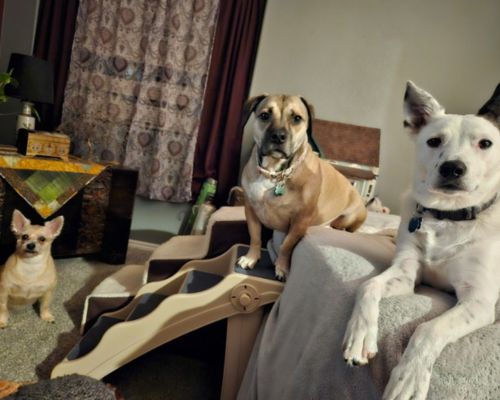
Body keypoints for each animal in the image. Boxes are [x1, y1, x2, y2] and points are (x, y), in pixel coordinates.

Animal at [236, 95, 366, 280]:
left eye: (297, 118)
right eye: (264, 115)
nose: (278, 136)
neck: (275, 172)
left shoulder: (300, 221)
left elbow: (286, 245)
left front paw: (282, 268)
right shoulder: (251, 210)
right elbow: (255, 237)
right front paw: (251, 258)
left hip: (350, 218)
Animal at [342, 82, 500, 400]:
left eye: (485, 143)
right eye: (434, 141)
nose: (452, 168)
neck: (447, 217)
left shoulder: (479, 300)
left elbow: (430, 329)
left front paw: (408, 378)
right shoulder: (405, 273)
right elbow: (368, 285)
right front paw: (360, 335)